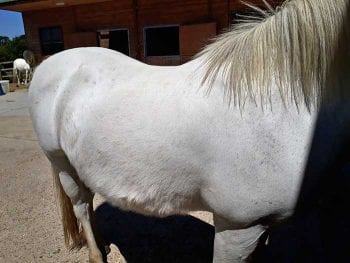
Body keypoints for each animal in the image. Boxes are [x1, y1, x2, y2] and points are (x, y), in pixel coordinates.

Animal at [28, 0, 350, 263]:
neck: (275, 100)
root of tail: (49, 64)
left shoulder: (258, 228)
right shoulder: (238, 226)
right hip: (60, 161)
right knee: (81, 205)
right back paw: (97, 255)